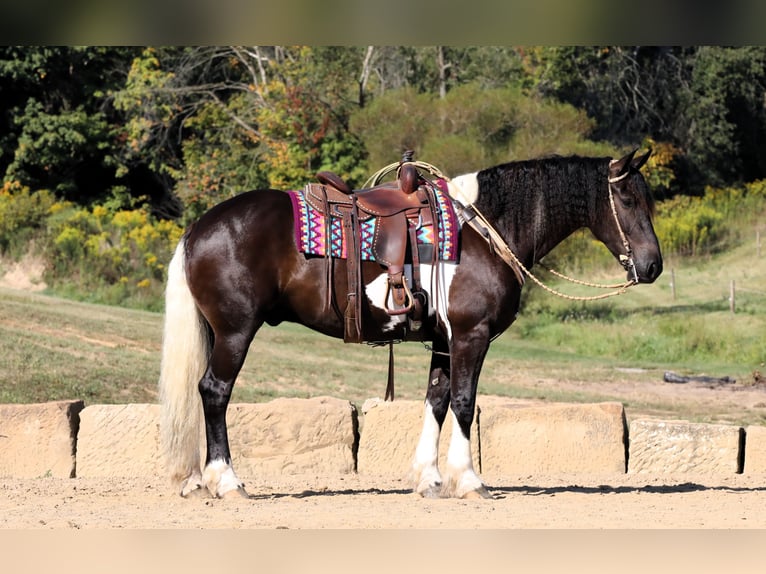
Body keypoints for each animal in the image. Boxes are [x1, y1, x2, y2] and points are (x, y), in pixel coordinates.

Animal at [159, 148, 664, 500]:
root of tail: (198, 228)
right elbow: (463, 402)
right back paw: (227, 481)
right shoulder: (471, 336)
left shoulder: (444, 340)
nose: (653, 265)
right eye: (627, 198)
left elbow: (436, 400)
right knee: (214, 392)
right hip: (236, 331)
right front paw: (470, 481)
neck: (484, 230)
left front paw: (429, 479)